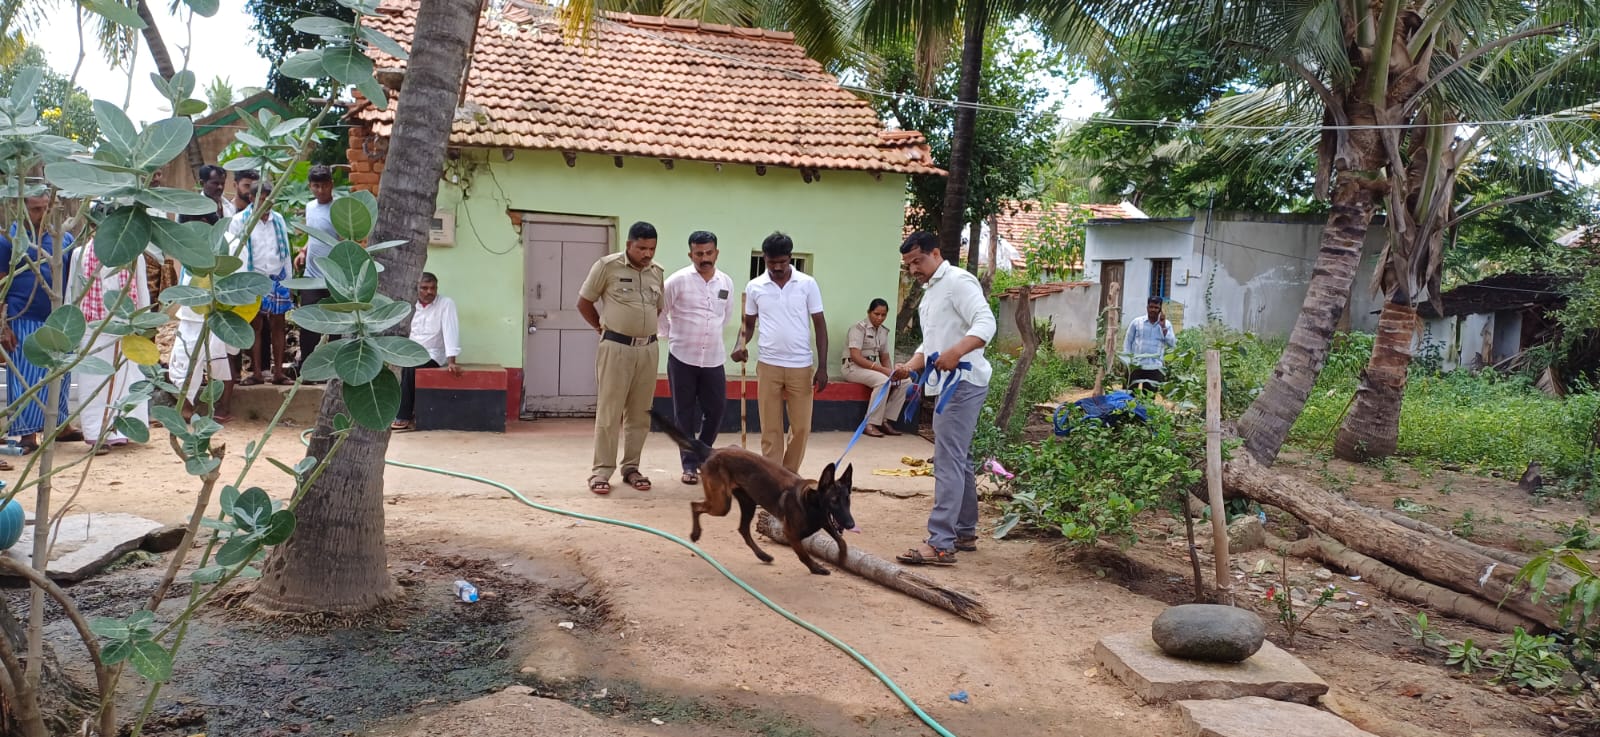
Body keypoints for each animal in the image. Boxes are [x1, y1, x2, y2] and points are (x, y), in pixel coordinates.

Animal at [649, 407, 857, 575]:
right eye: (833, 500)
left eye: (848, 499)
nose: (851, 524)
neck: (811, 502)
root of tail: (713, 451)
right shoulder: (790, 533)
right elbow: (804, 554)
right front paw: (816, 568)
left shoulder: (826, 521)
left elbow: (841, 541)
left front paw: (842, 558)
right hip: (722, 505)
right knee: (695, 505)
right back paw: (695, 534)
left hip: (747, 502)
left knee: (742, 529)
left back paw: (762, 555)